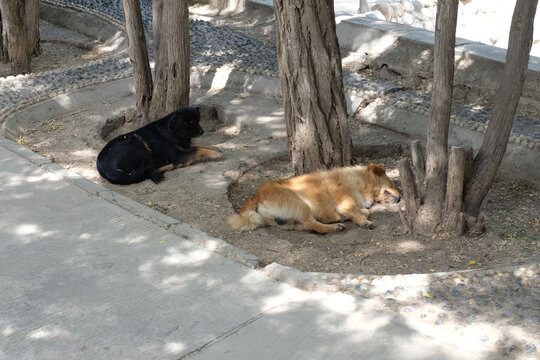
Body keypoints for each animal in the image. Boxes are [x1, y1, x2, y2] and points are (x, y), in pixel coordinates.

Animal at [226, 163, 398, 233]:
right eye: (391, 182)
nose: (401, 196)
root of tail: (256, 195)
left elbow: (363, 211)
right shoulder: (344, 201)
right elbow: (357, 212)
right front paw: (364, 221)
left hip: (294, 221)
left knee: (310, 226)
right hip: (300, 203)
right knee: (310, 222)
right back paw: (334, 227)